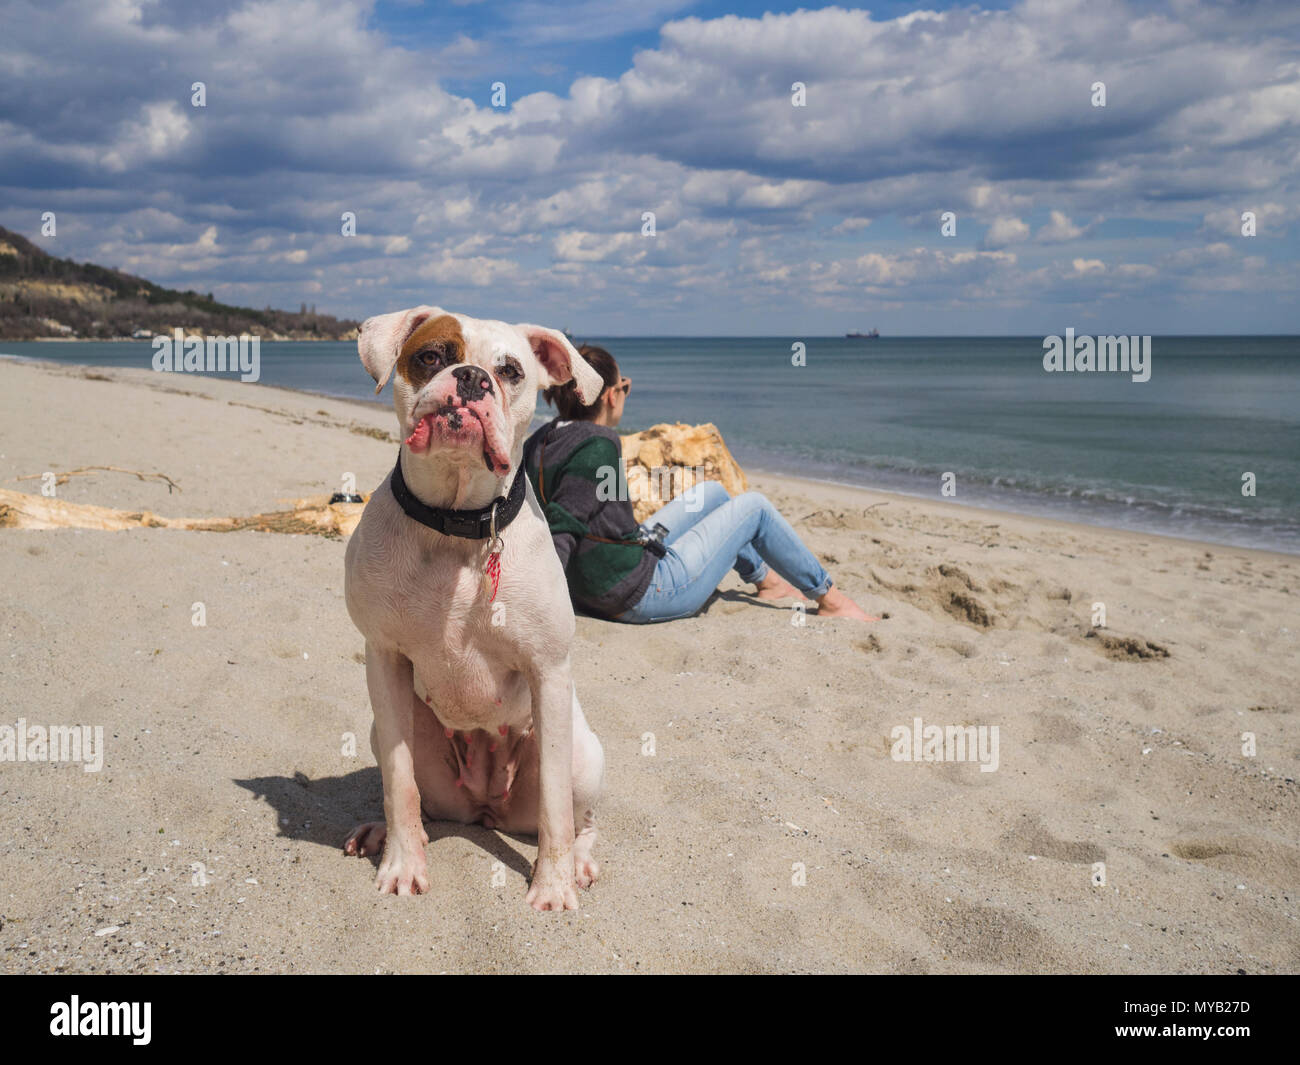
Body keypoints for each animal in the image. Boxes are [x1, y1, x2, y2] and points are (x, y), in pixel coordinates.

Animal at [345, 304, 608, 910]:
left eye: (511, 371)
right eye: (431, 356)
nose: (470, 378)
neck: (456, 524)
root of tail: (487, 810)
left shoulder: (548, 671)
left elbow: (556, 807)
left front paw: (553, 885)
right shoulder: (383, 658)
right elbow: (399, 785)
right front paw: (402, 863)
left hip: (585, 756)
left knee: (582, 818)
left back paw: (580, 861)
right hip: (393, 735)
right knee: (416, 795)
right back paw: (379, 831)